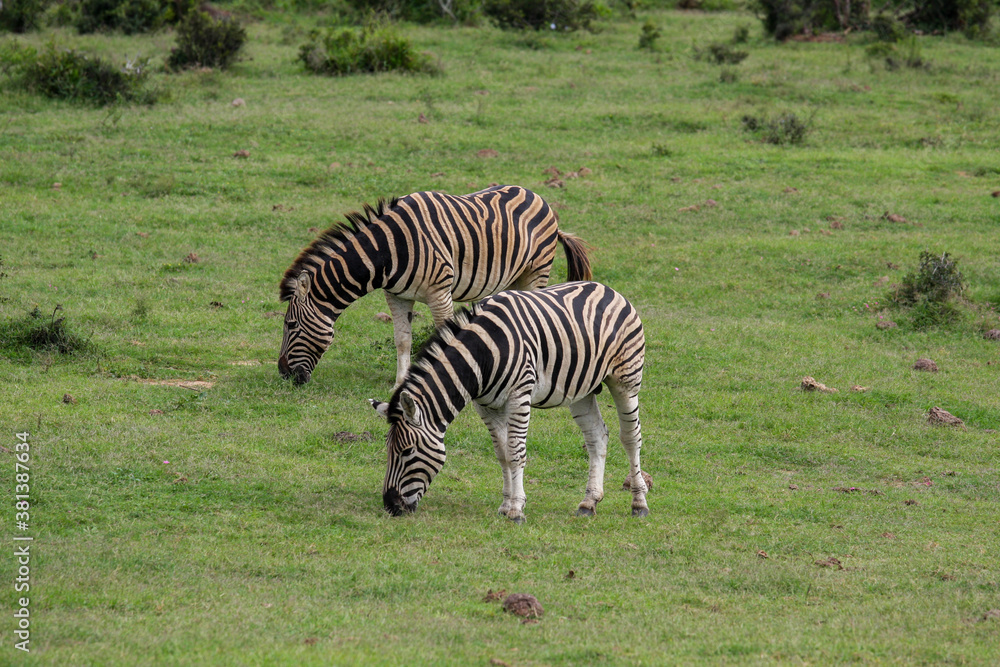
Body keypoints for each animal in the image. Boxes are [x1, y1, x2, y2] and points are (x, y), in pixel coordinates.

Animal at [278, 185, 592, 387]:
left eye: (291, 325)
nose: (283, 374)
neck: (387, 251)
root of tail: (538, 197)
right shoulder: (396, 296)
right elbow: (402, 339)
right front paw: (399, 382)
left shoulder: (440, 292)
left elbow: (443, 335)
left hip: (536, 272)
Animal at [369, 281, 648, 523]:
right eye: (388, 449)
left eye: (407, 451)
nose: (390, 506)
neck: (482, 354)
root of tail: (607, 288)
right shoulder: (485, 405)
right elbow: (501, 453)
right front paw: (506, 505)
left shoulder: (518, 397)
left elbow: (515, 453)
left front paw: (516, 510)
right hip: (582, 390)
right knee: (596, 437)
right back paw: (589, 503)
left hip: (625, 380)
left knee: (631, 437)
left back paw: (639, 503)